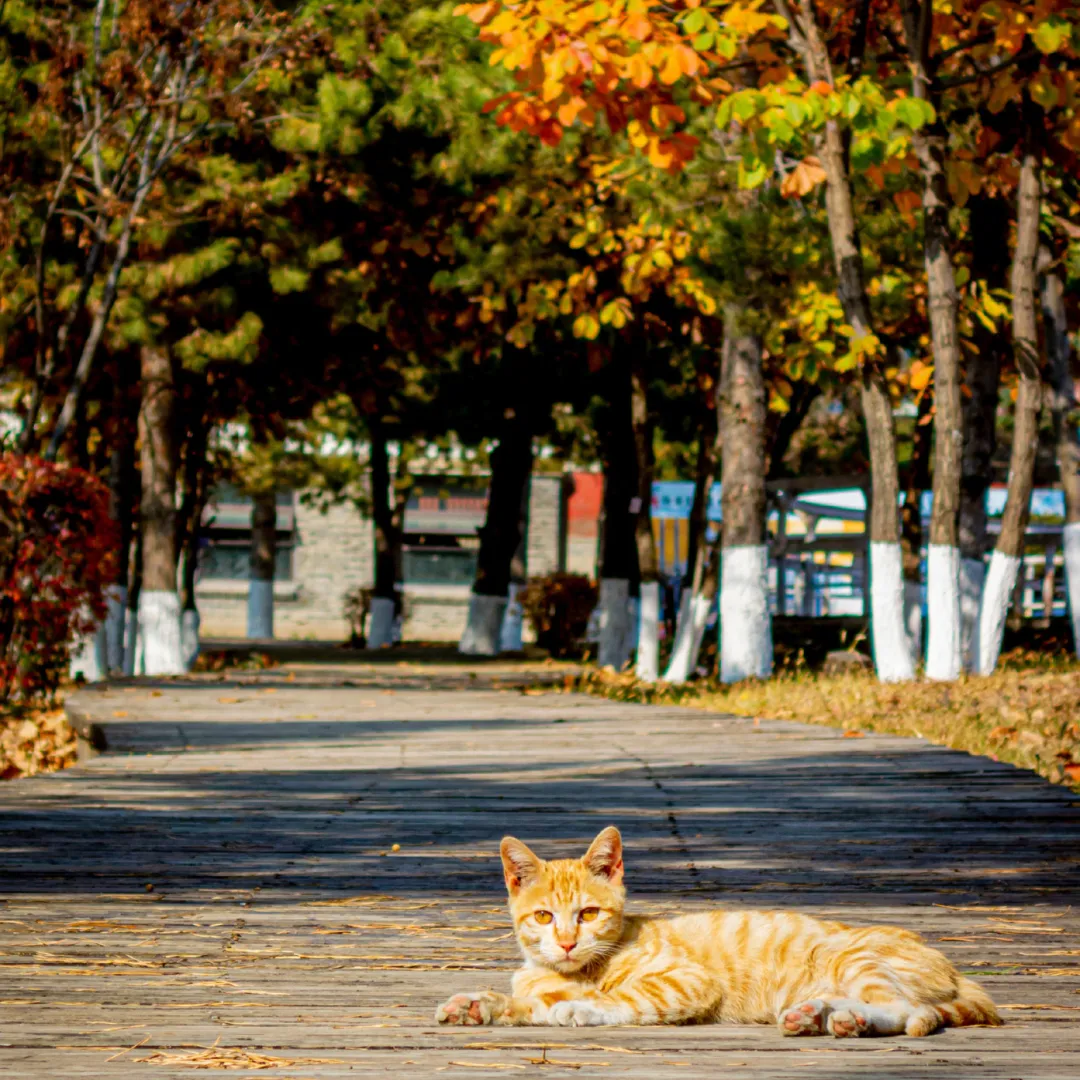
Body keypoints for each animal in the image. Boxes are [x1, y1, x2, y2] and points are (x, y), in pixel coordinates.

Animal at [434, 825, 997, 1036]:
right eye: (544, 917)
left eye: (589, 914)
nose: (569, 942)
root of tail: (951, 967)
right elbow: (525, 1001)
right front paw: (477, 1005)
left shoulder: (687, 982)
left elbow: (619, 1000)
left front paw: (580, 1008)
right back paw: (819, 1015)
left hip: (850, 957)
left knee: (910, 1011)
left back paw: (843, 1018)